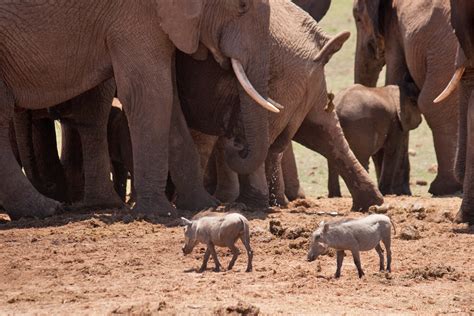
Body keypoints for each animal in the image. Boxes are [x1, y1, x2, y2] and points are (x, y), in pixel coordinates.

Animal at [0, 0, 276, 220]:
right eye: (241, 6)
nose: (236, 143)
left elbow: (170, 100)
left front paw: (203, 205)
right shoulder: (135, 15)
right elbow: (152, 95)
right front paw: (159, 214)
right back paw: (47, 209)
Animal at [354, 0, 462, 196]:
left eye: (358, 18)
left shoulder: (395, 30)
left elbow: (395, 82)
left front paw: (396, 191)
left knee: (432, 104)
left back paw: (444, 188)